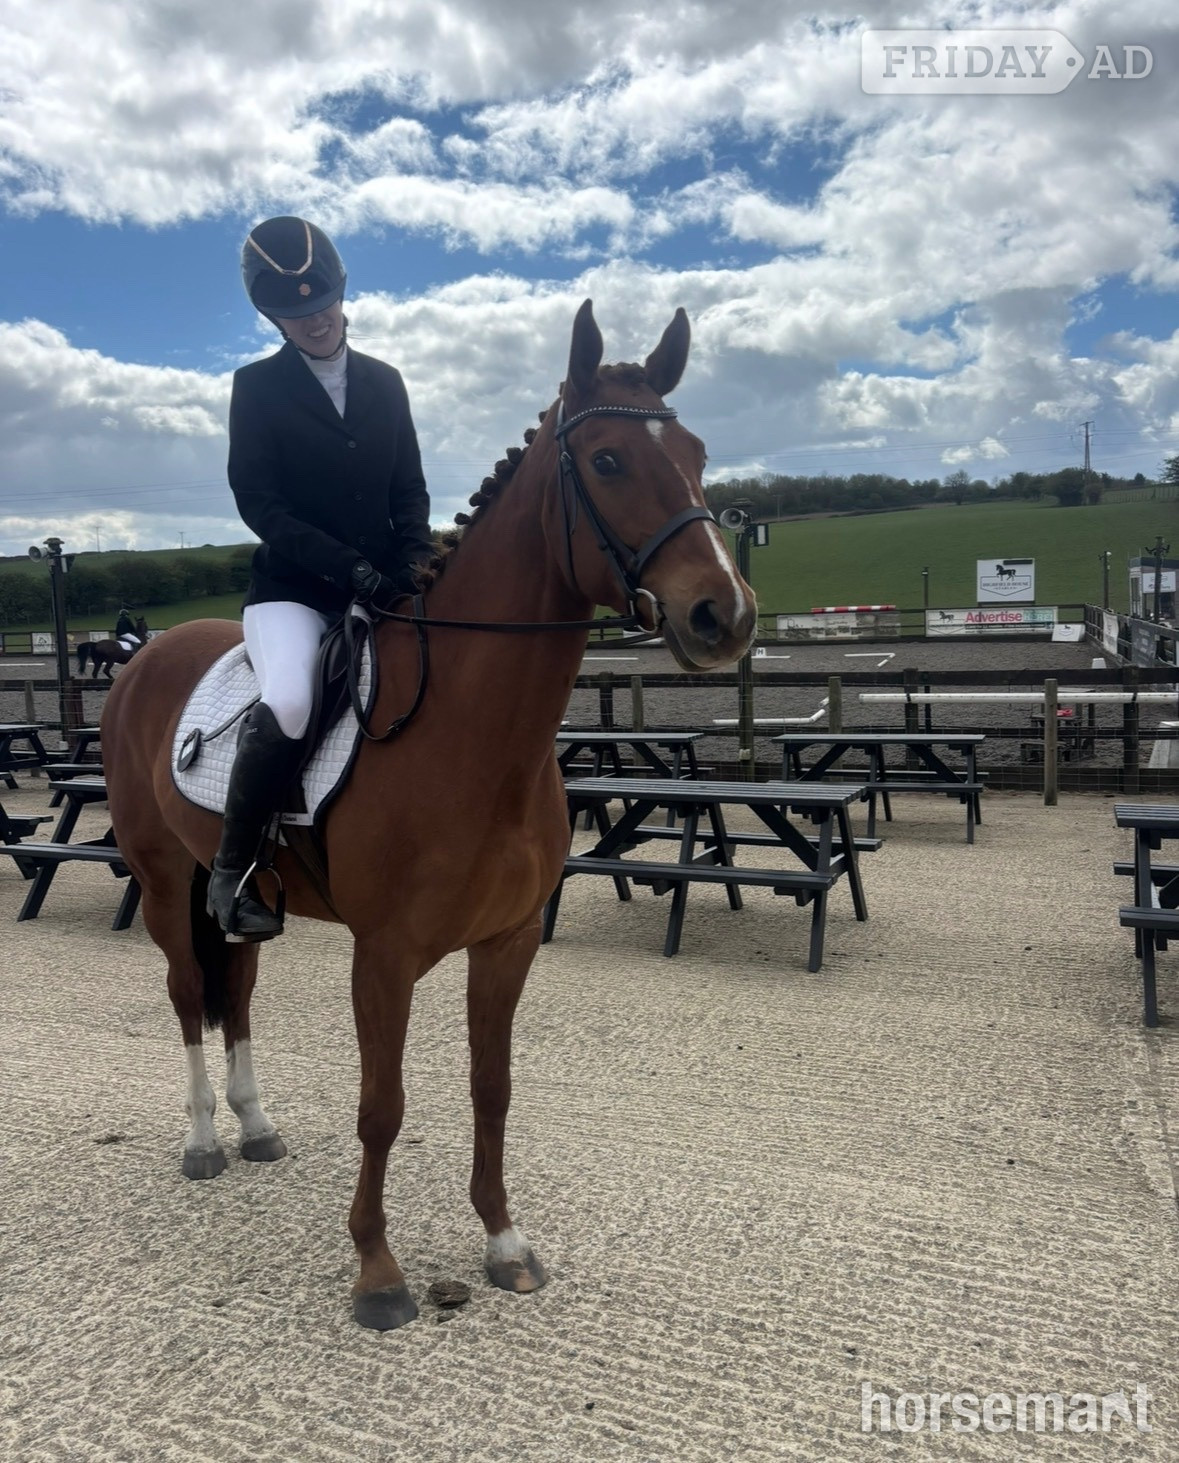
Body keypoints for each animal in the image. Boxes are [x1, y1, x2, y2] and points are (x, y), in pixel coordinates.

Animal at [100, 301, 757, 1332]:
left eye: (694, 451)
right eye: (608, 459)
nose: (721, 615)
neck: (476, 735)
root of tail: (145, 657)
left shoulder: (507, 941)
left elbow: (492, 1088)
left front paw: (504, 1241)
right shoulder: (385, 953)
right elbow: (384, 1104)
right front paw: (376, 1270)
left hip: (234, 891)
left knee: (235, 987)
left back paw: (255, 1124)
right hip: (165, 882)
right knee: (184, 993)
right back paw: (205, 1139)